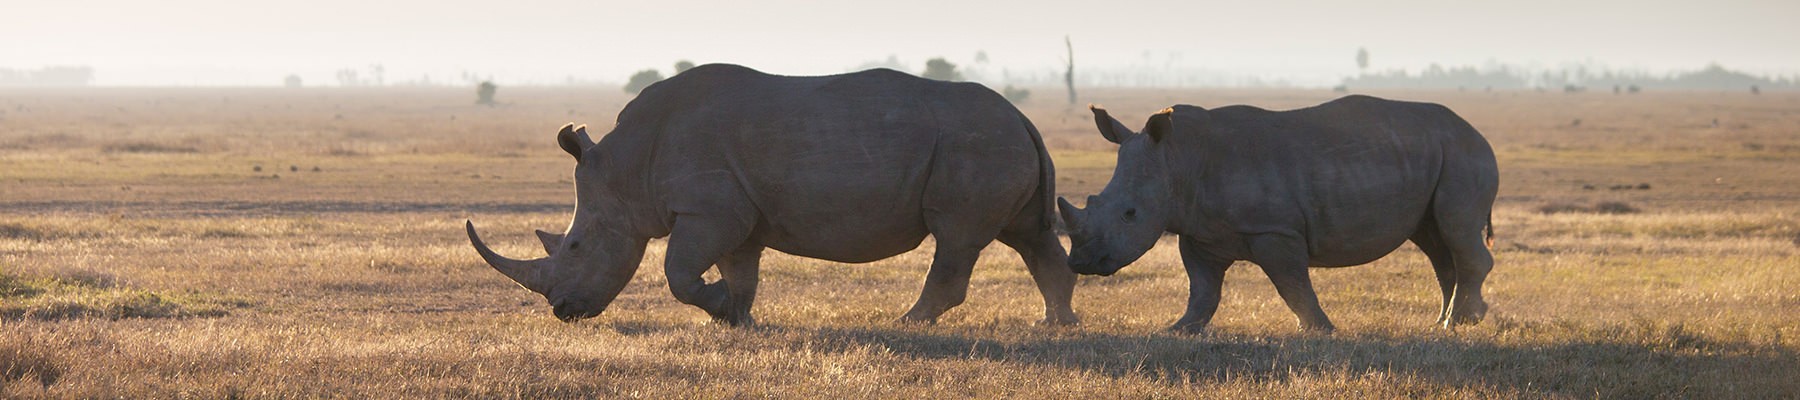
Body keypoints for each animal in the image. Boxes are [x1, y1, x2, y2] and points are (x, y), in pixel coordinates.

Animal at [471, 62, 1072, 324]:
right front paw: (735, 318)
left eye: (574, 247)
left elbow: (677, 273)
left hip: (975, 144)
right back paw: (1057, 325)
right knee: (1029, 236)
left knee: (956, 239)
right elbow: (741, 272)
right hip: (994, 141)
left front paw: (718, 308)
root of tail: (1023, 118)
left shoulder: (706, 209)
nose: (562, 311)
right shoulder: (736, 213)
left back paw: (906, 325)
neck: (625, 170)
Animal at [1058, 97, 1497, 335]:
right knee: (1436, 243)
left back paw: (1460, 323)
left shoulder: (1274, 231)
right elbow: (1202, 290)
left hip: (1463, 155)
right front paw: (1178, 329)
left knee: (1456, 232)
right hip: (1437, 155)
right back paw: (1445, 321)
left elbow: (1293, 285)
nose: (1080, 262)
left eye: (1130, 213)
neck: (1176, 158)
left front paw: (1319, 330)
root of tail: (1477, 132)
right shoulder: (1199, 234)